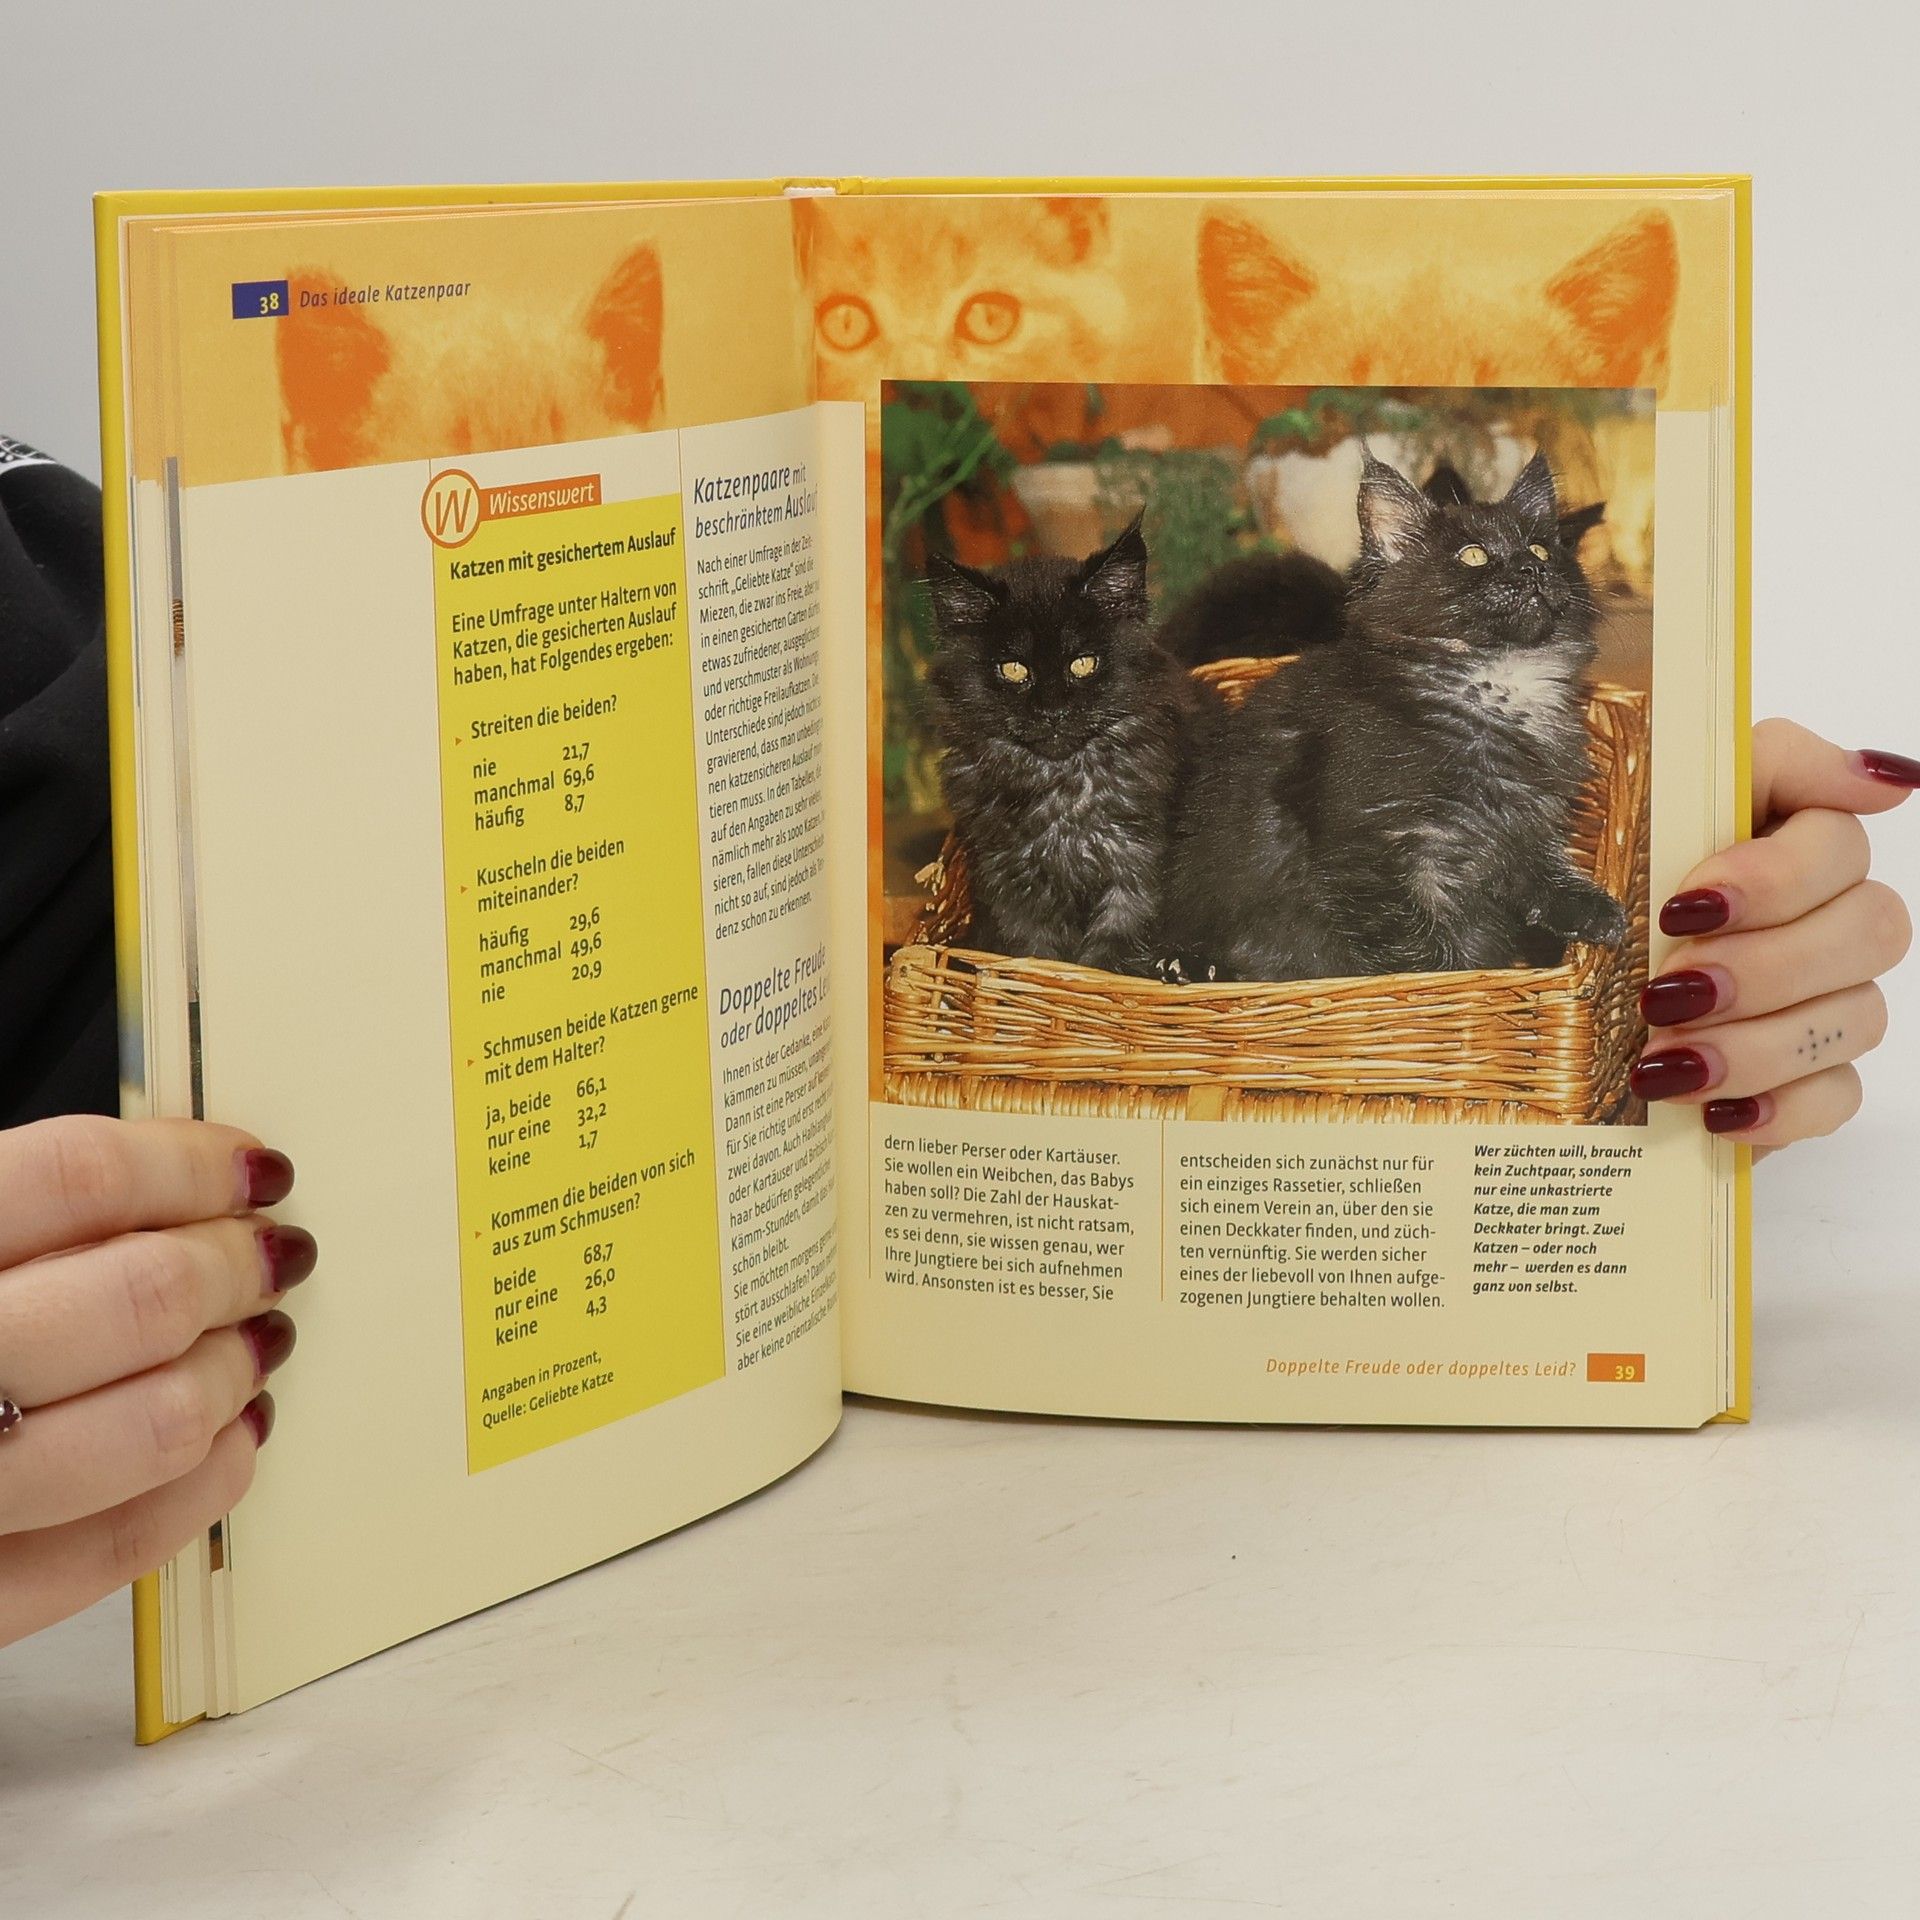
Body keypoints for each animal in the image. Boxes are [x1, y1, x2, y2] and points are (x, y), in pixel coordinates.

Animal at [925, 519, 1201, 975]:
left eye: (1083, 663)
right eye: (1014, 669)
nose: (1052, 711)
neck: (1062, 787)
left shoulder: (1136, 873)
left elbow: (1109, 958)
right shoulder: (1013, 887)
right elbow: (1036, 956)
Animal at [1162, 450, 1626, 982]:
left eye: (1541, 549)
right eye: (1473, 555)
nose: (1531, 567)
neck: (1497, 683)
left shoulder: (1525, 821)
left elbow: (1541, 866)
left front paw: (1592, 910)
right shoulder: (1367, 854)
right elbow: (1418, 949)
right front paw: (1455, 978)